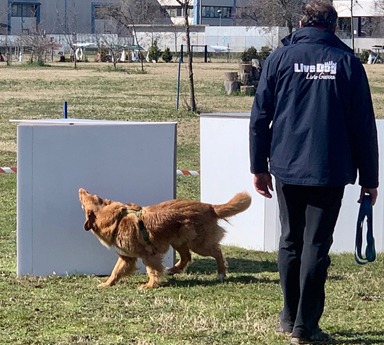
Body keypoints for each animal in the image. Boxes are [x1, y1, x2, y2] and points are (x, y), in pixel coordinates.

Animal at [78, 188, 252, 288]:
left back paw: (221, 273)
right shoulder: (126, 257)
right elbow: (116, 271)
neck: (117, 219)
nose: (80, 189)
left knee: (217, 252)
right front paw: (106, 284)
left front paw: (150, 285)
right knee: (186, 257)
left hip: (198, 244)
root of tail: (210, 207)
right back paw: (173, 269)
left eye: (87, 197)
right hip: (178, 241)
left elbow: (152, 270)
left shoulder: (149, 255)